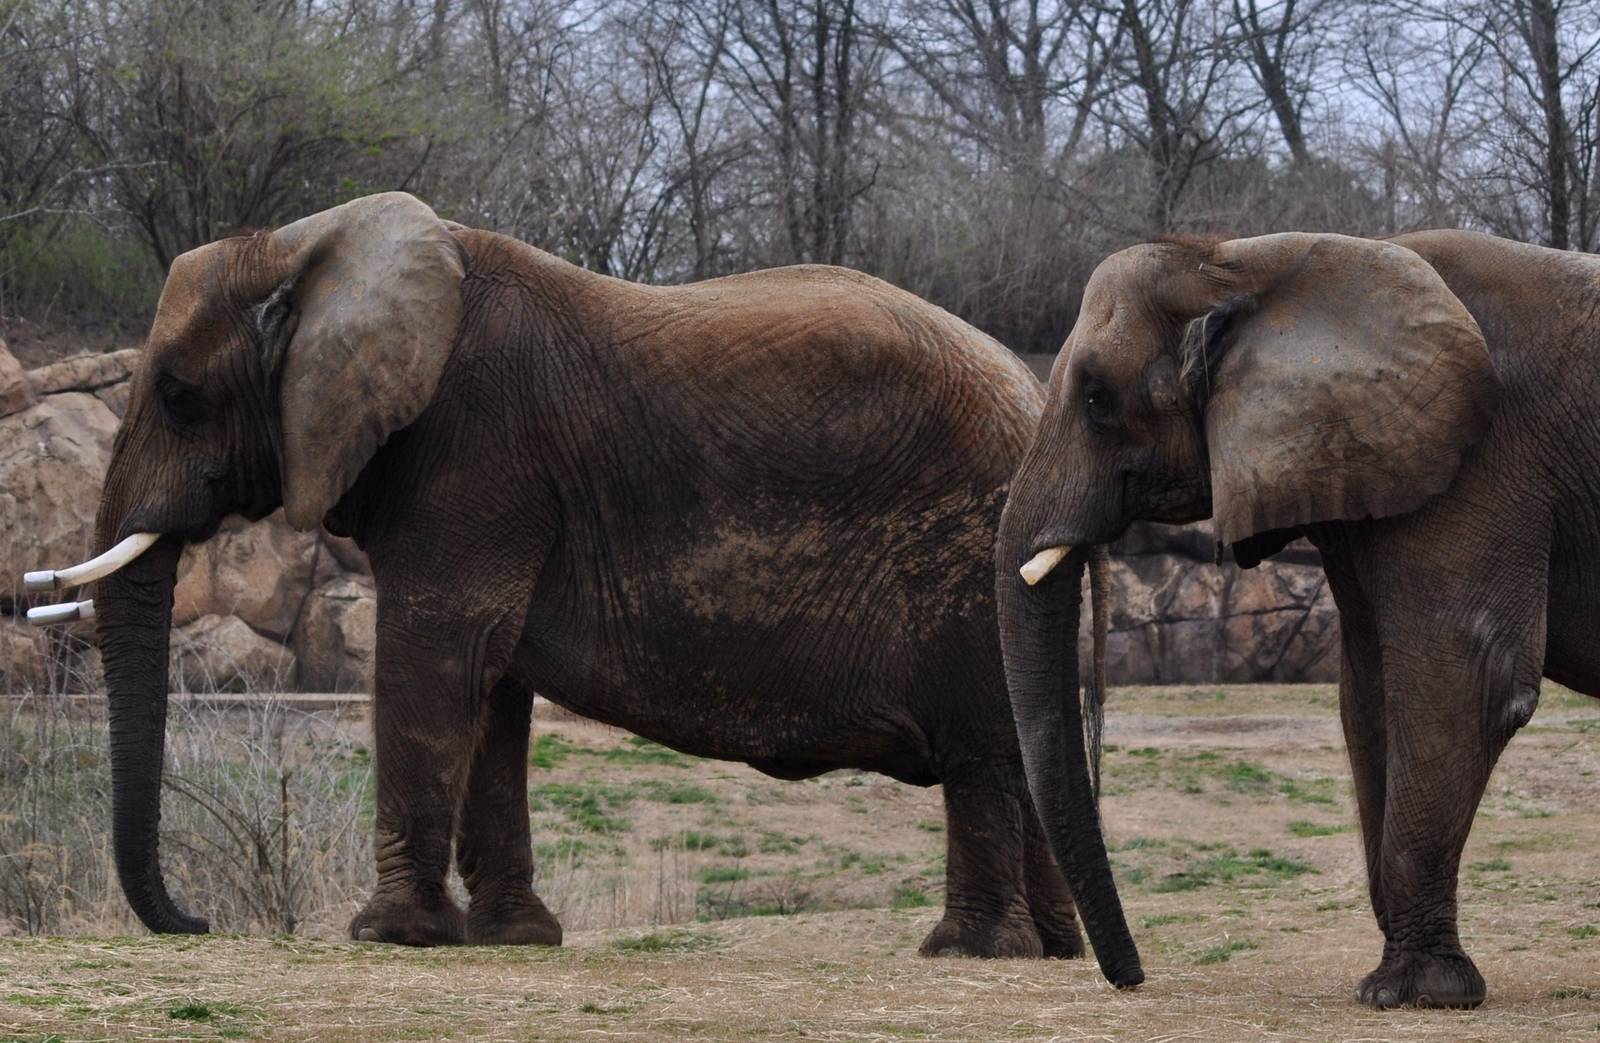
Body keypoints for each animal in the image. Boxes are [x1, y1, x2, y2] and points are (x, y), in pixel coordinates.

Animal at [21, 191, 1123, 960]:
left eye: (178, 394)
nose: (199, 922)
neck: (314, 244)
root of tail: (1034, 394)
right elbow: (491, 688)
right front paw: (511, 937)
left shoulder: (475, 454)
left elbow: (437, 656)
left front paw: (389, 934)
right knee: (1018, 750)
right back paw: (1050, 949)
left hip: (967, 554)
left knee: (982, 754)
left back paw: (970, 949)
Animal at [996, 228, 1600, 1006]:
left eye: (1097, 397)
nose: (1133, 976)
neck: (1249, 261)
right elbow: (1368, 692)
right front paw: (1403, 979)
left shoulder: (1481, 460)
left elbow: (1467, 682)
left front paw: (1410, 993)